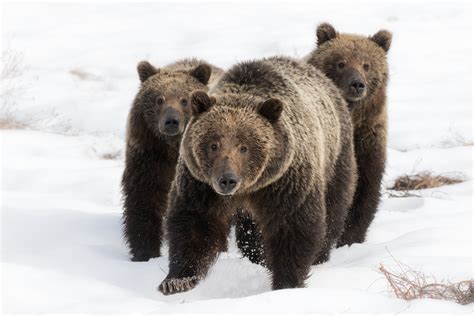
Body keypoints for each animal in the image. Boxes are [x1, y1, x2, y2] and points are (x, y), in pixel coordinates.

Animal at [121, 58, 223, 262]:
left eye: (184, 100)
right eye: (159, 99)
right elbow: (144, 195)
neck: (172, 147)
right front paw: (144, 251)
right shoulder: (149, 154)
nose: (171, 121)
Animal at [158, 56, 356, 294]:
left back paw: (320, 255)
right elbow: (195, 223)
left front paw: (286, 282)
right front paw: (177, 281)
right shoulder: (200, 184)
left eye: (244, 147)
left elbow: (293, 225)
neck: (249, 188)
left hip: (335, 156)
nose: (227, 180)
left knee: (334, 207)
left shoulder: (286, 181)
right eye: (214, 144)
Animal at [308, 23, 392, 246]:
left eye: (366, 65)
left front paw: (351, 238)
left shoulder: (368, 141)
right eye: (340, 63)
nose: (357, 84)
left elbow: (365, 191)